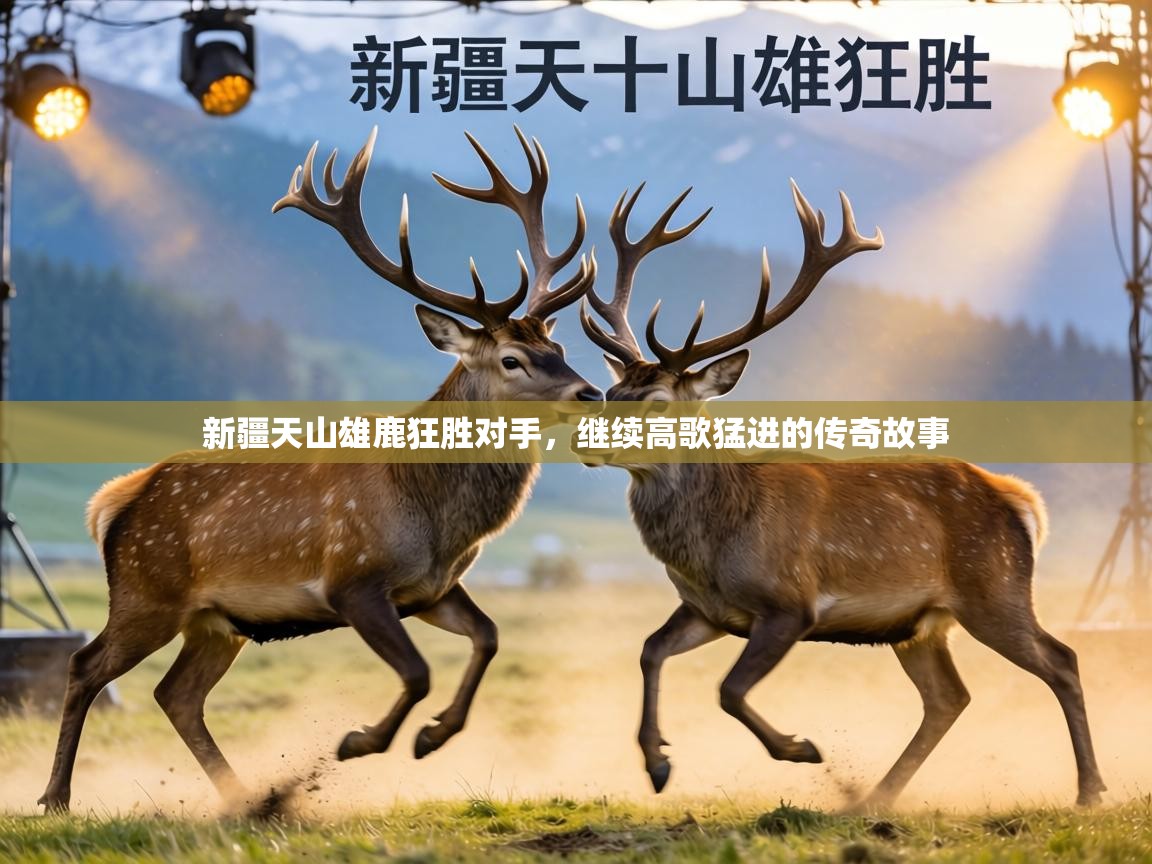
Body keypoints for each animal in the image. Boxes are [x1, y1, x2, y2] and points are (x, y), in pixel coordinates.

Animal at [38, 126, 604, 812]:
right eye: (513, 360)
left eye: (559, 346)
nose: (590, 393)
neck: (436, 519)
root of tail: (114, 502)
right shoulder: (353, 580)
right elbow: (417, 670)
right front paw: (360, 742)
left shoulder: (431, 588)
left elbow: (489, 636)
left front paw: (434, 735)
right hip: (147, 591)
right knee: (86, 666)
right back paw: (56, 796)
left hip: (218, 622)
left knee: (176, 694)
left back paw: (249, 798)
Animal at [577, 182, 1107, 809]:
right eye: (610, 392)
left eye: (657, 403)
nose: (585, 441)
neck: (714, 548)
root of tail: (1021, 501)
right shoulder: (708, 610)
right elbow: (650, 650)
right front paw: (658, 764)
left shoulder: (790, 603)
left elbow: (729, 690)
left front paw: (802, 749)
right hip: (920, 623)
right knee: (949, 697)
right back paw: (874, 797)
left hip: (995, 588)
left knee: (1062, 660)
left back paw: (1090, 790)